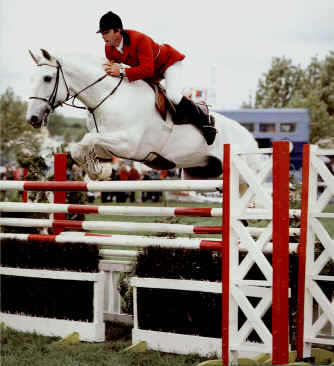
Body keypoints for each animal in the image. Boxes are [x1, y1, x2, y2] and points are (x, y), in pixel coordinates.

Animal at [27, 48, 260, 180]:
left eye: (47, 78)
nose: (32, 118)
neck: (110, 97)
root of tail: (252, 140)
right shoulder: (110, 142)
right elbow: (81, 147)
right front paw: (97, 170)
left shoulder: (130, 145)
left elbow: (87, 139)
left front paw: (97, 171)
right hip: (198, 173)